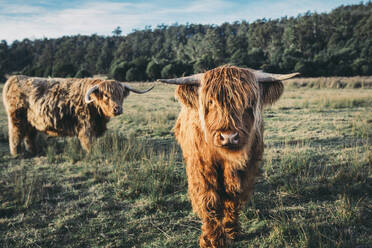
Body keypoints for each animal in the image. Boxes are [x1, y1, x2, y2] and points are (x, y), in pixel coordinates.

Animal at [2, 75, 151, 156]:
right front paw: (93, 153)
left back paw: (34, 151)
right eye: (106, 96)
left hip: (32, 120)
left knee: (29, 135)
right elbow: (88, 142)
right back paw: (17, 153)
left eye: (120, 95)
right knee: (15, 134)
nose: (117, 109)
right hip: (17, 118)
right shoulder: (86, 126)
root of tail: (13, 79)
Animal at [158, 66, 300, 248]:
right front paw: (212, 239)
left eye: (248, 102)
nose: (229, 137)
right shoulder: (202, 168)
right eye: (211, 102)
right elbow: (209, 200)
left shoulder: (246, 169)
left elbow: (234, 198)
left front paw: (232, 231)